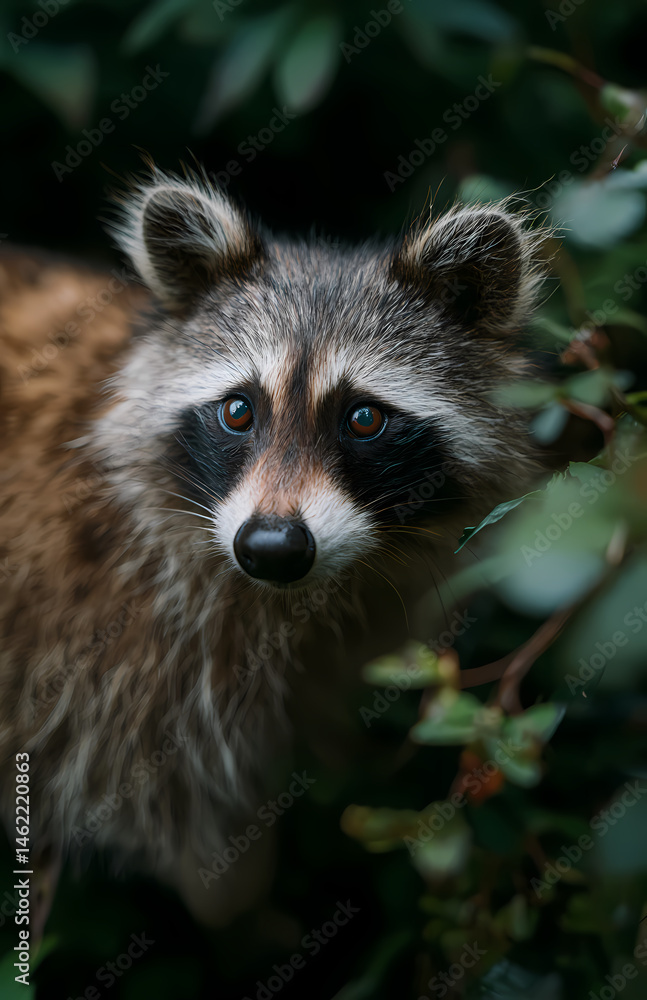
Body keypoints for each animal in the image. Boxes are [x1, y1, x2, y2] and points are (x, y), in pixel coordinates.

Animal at [0, 169, 546, 928]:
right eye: (238, 410)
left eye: (365, 418)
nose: (271, 546)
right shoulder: (106, 655)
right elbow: (159, 797)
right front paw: (240, 907)